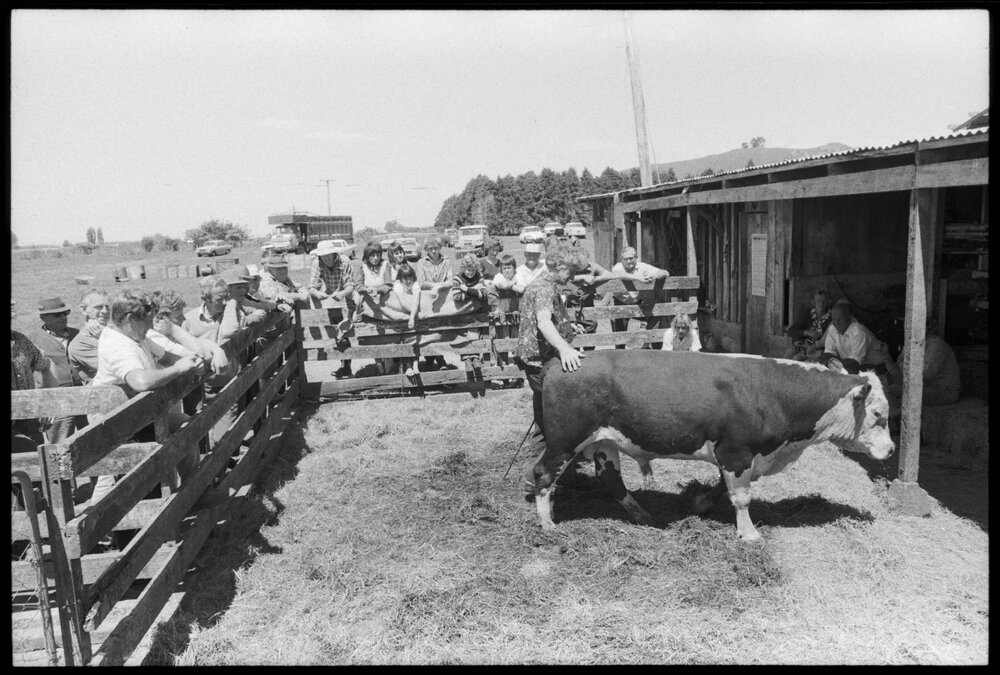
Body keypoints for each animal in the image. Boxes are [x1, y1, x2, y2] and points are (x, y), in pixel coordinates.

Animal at [530, 350, 895, 541]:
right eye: (878, 414)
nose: (891, 450)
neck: (775, 394)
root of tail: (558, 363)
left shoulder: (737, 454)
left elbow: (723, 486)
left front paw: (700, 503)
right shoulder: (736, 451)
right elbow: (741, 496)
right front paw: (748, 533)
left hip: (605, 440)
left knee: (610, 478)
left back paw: (641, 514)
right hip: (565, 440)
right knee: (542, 473)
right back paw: (547, 523)